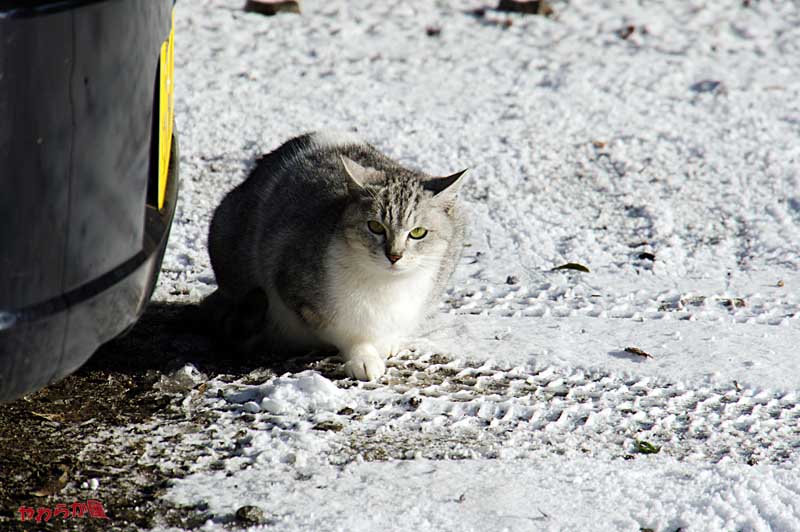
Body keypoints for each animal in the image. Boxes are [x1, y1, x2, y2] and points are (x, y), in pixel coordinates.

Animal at [205, 132, 468, 382]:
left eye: (418, 232)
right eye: (375, 226)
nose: (394, 255)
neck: (387, 285)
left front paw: (388, 341)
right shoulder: (297, 291)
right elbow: (343, 331)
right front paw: (363, 356)